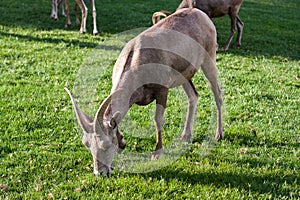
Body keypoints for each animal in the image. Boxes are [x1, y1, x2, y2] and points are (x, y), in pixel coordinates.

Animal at [66, 8, 225, 177]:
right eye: (86, 144)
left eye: (106, 144)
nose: (100, 172)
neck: (136, 61)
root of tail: (201, 15)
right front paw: (123, 142)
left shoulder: (162, 89)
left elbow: (158, 119)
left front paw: (157, 153)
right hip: (185, 75)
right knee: (193, 96)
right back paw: (185, 136)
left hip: (209, 60)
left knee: (217, 93)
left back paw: (219, 134)